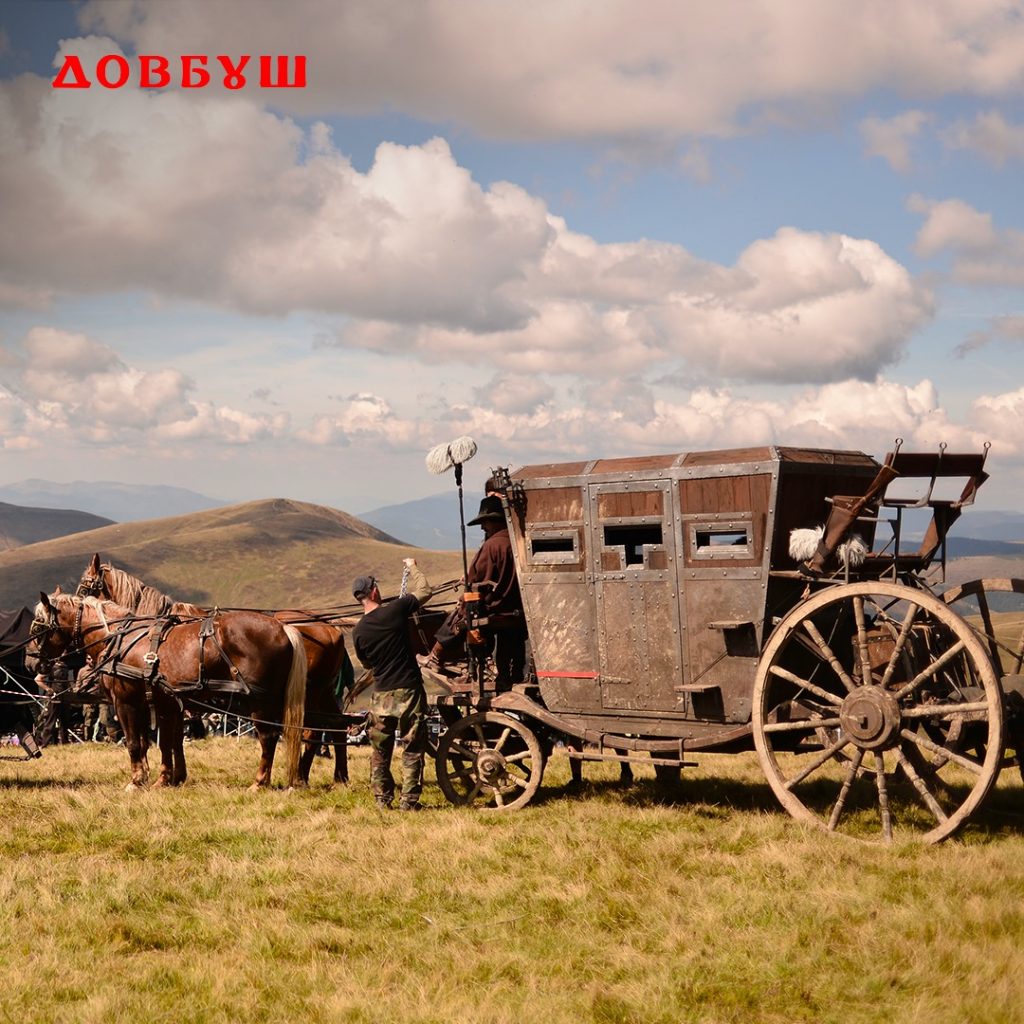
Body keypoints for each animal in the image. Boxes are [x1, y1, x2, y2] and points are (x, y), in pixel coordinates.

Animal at [27, 593, 307, 790]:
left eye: (38, 627)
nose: (31, 662)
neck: (119, 639)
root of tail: (283, 628)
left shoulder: (126, 702)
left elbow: (135, 742)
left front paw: (136, 781)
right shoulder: (159, 703)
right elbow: (162, 742)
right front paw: (165, 778)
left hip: (259, 701)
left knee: (268, 737)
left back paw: (259, 782)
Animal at [76, 552, 356, 782]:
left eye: (84, 586)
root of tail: (329, 628)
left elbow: (169, 738)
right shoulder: (176, 700)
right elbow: (175, 738)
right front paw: (177, 776)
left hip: (304, 694)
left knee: (310, 731)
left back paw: (299, 777)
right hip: (322, 692)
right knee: (336, 726)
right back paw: (337, 777)